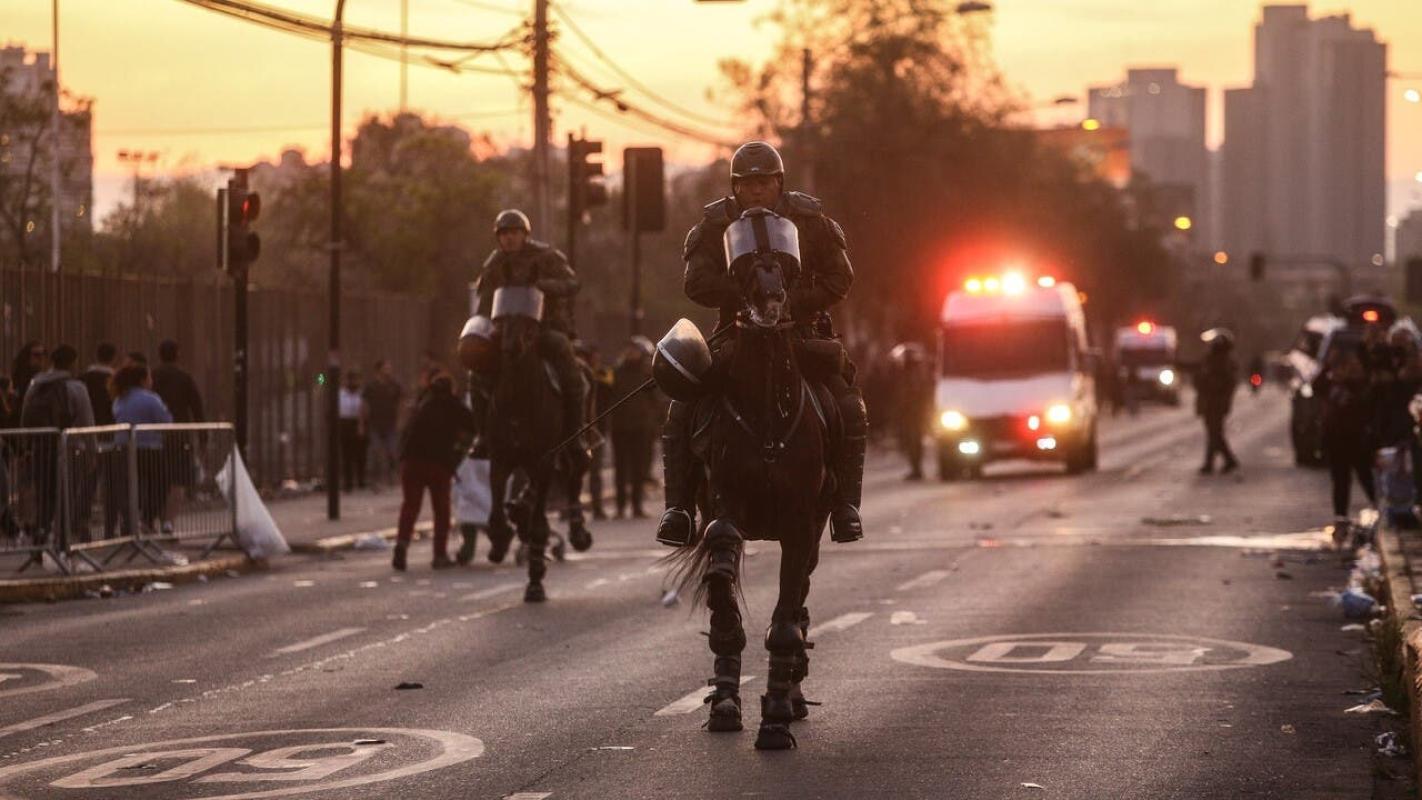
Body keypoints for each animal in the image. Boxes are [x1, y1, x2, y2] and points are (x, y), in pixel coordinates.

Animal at [667, 209, 833, 750]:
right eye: (741, 264)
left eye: (783, 261)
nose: (770, 301)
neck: (766, 415)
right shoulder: (726, 503)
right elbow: (723, 591)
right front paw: (724, 701)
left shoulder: (801, 525)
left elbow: (786, 618)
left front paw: (777, 716)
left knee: (800, 604)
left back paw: (793, 695)